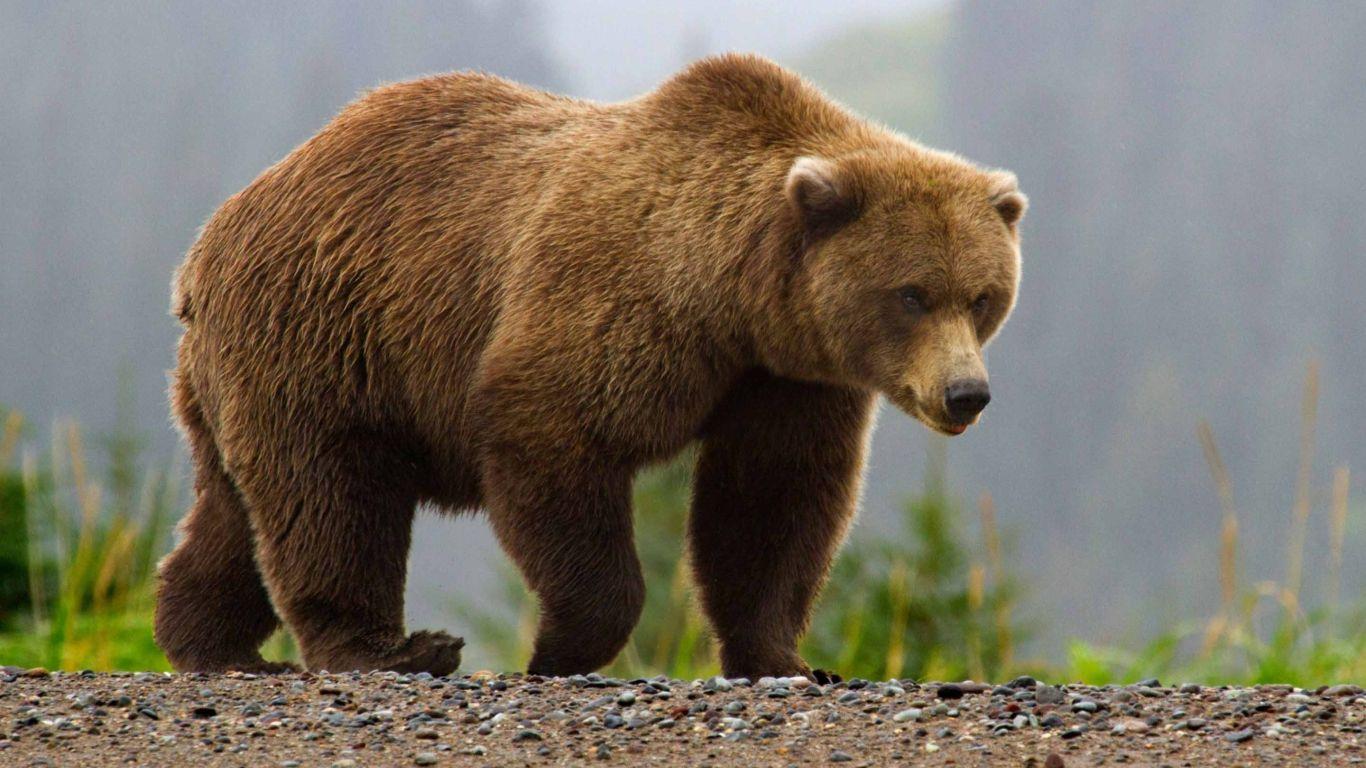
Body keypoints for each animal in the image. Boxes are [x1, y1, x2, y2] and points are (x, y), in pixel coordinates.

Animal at [153, 53, 1025, 680]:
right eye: (911, 294)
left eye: (984, 296)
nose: (967, 393)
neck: (733, 298)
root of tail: (209, 240)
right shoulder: (615, 302)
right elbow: (554, 438)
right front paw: (558, 648)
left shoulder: (786, 378)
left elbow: (772, 502)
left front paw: (789, 659)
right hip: (326, 332)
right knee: (331, 495)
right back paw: (391, 650)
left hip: (245, 371)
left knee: (235, 510)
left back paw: (210, 641)